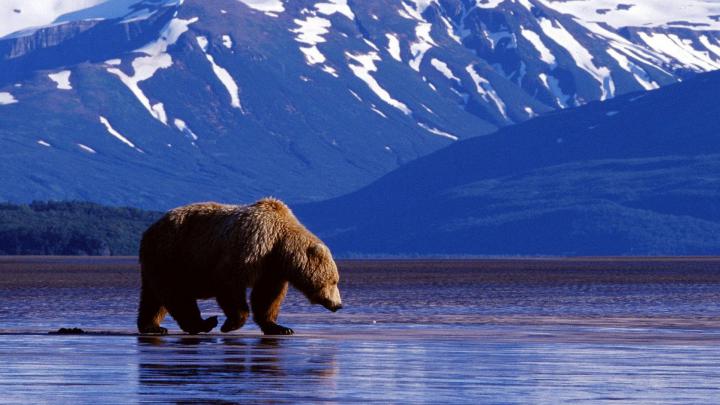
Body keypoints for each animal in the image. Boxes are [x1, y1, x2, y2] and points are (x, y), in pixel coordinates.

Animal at [136, 197, 342, 335]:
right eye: (334, 281)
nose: (339, 305)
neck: (279, 244)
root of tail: (149, 230)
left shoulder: (271, 268)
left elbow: (267, 296)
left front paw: (280, 327)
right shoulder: (251, 248)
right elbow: (229, 282)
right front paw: (230, 324)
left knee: (153, 297)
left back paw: (152, 326)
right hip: (174, 254)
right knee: (176, 292)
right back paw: (203, 323)